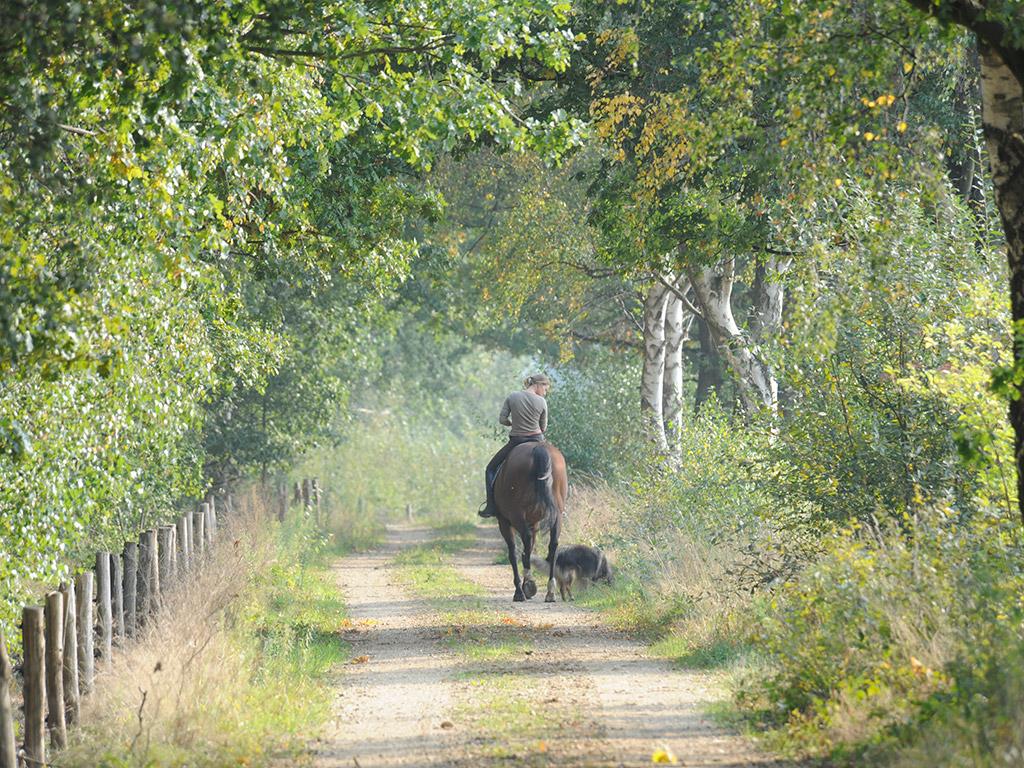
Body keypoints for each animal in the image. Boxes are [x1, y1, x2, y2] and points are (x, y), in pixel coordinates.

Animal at [489, 442, 565, 606]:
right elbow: (528, 550)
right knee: (553, 545)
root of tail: (539, 447)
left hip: (516, 515)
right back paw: (550, 591)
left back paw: (525, 587)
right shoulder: (534, 522)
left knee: (524, 543)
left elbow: (513, 552)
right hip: (557, 514)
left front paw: (521, 588)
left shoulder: (504, 522)